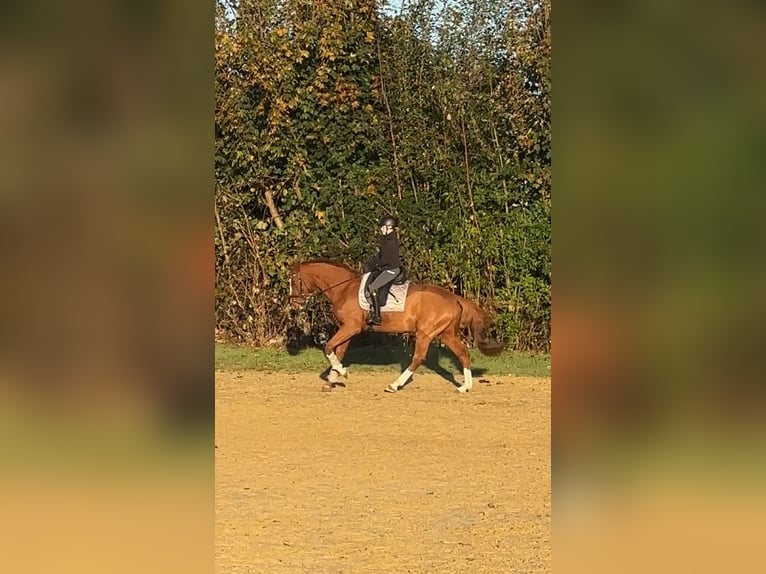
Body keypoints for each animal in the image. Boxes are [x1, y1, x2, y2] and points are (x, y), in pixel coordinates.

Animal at [290, 260, 504, 392]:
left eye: (294, 281)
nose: (294, 305)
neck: (344, 288)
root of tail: (454, 298)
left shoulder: (351, 327)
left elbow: (328, 347)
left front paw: (341, 373)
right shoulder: (347, 329)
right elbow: (338, 351)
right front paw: (332, 380)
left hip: (425, 333)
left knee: (418, 358)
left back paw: (394, 385)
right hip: (446, 334)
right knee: (463, 353)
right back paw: (465, 387)